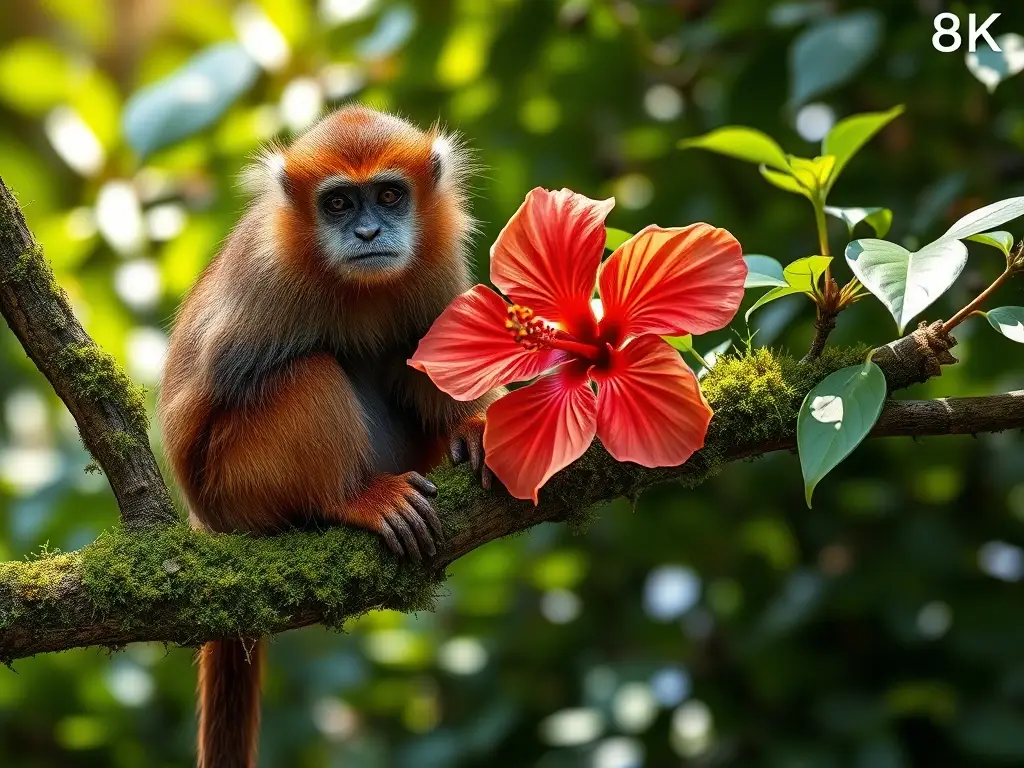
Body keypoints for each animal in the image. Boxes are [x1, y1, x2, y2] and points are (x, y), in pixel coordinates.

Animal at [158, 106, 499, 768]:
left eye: (389, 196)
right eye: (338, 204)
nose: (367, 233)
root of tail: (206, 521)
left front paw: (471, 424)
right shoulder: (266, 271)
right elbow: (212, 395)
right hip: (233, 487)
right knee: (309, 370)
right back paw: (356, 499)